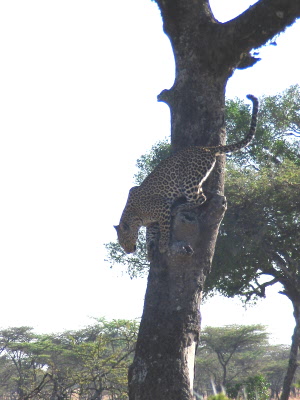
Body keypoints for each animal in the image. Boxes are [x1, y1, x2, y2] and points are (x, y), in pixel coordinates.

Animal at [113, 94, 258, 256]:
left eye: (124, 241)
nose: (128, 251)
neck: (136, 216)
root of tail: (206, 148)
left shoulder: (162, 208)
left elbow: (164, 229)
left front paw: (163, 245)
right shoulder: (153, 222)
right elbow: (151, 233)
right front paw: (150, 247)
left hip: (189, 180)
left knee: (200, 198)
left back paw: (179, 208)